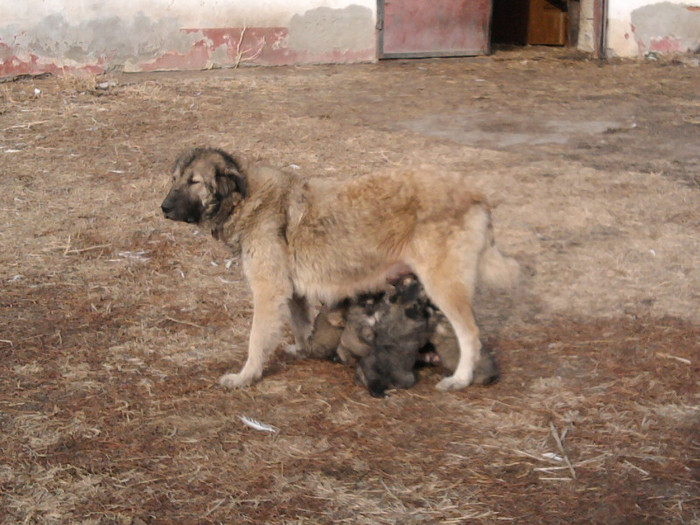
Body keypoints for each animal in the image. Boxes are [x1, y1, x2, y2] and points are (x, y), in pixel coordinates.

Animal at [160, 145, 520, 390]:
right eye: (174, 180)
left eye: (194, 181)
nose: (163, 207)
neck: (245, 199)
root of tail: (474, 192)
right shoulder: (292, 294)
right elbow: (301, 326)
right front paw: (305, 350)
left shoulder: (268, 292)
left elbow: (256, 341)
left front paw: (245, 376)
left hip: (443, 286)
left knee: (470, 334)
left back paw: (460, 379)